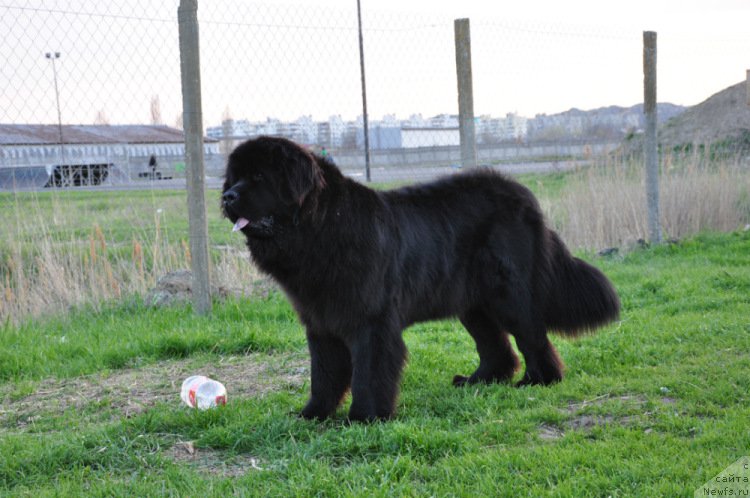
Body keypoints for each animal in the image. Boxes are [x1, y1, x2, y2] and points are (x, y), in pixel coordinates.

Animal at [223, 135, 624, 420]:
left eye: (258, 177)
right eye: (234, 178)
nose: (226, 195)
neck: (320, 229)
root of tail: (524, 195)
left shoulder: (372, 321)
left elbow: (368, 371)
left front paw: (365, 416)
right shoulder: (321, 322)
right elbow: (324, 373)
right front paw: (312, 414)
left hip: (509, 295)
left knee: (532, 336)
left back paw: (536, 381)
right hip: (472, 303)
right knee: (496, 346)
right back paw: (478, 380)